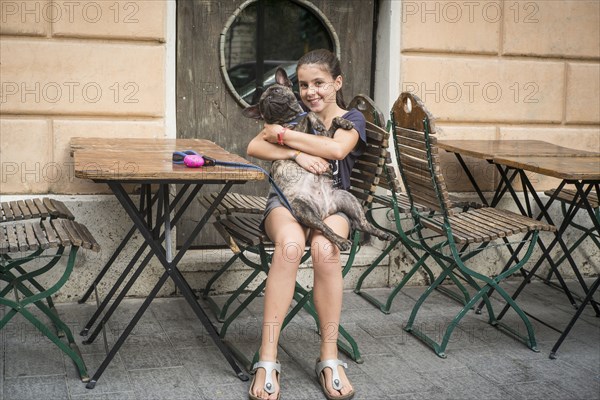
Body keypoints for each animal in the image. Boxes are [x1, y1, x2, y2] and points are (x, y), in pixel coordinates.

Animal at [241, 68, 392, 250]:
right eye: (262, 103)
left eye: (276, 90)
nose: (268, 100)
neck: (289, 119)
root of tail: (325, 210)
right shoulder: (292, 131)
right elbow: (309, 114)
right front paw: (317, 122)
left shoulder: (325, 139)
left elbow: (325, 120)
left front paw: (343, 122)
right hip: (303, 209)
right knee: (325, 227)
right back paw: (341, 241)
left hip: (349, 199)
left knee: (361, 224)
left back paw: (383, 234)